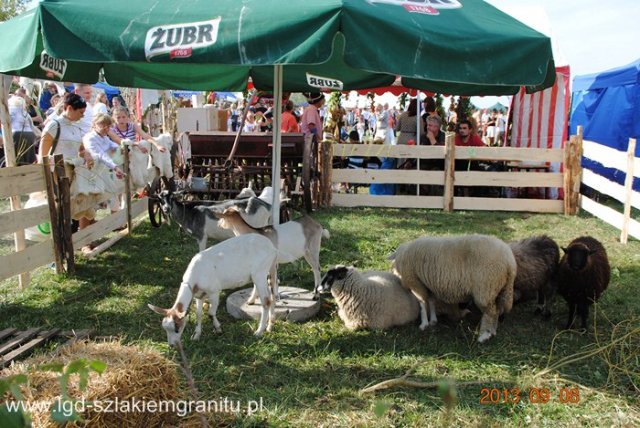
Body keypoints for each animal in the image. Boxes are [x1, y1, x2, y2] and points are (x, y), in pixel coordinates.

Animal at [150, 232, 280, 346]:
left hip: (260, 273)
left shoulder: (214, 292)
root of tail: (272, 247)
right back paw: (270, 326)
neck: (196, 275)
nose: (172, 345)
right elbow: (198, 314)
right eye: (165, 328)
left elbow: (211, 313)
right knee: (272, 295)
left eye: (177, 328)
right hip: (269, 269)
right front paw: (196, 335)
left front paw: (218, 329)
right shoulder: (199, 295)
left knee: (266, 301)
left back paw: (259, 332)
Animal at [388, 234, 516, 344]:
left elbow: (422, 303)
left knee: (491, 312)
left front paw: (424, 324)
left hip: (485, 288)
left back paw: (484, 335)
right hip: (498, 289)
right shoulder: (428, 284)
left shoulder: (416, 282)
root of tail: (510, 262)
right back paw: (492, 331)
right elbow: (431, 301)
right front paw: (433, 320)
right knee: (497, 310)